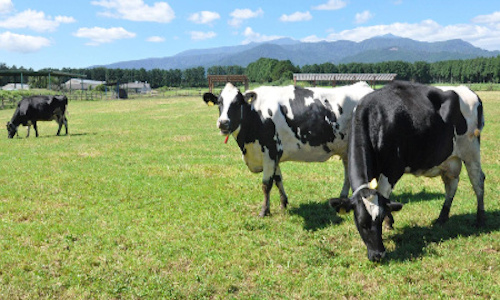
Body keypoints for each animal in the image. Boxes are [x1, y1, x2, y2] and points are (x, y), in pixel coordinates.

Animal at [201, 81, 374, 216]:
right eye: (219, 103)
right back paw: (344, 198)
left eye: (237, 103)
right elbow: (278, 180)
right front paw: (283, 203)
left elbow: (266, 184)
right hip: (345, 149)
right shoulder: (274, 155)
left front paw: (264, 211)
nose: (223, 123)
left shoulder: (270, 152)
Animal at [330, 81, 486, 262]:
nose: (378, 254)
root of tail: (467, 90)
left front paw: (389, 223)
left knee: (478, 181)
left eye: (379, 220)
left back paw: (480, 219)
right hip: (450, 159)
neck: (374, 119)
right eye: (361, 223)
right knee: (452, 185)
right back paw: (442, 218)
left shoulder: (392, 169)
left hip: (471, 151)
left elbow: (384, 194)